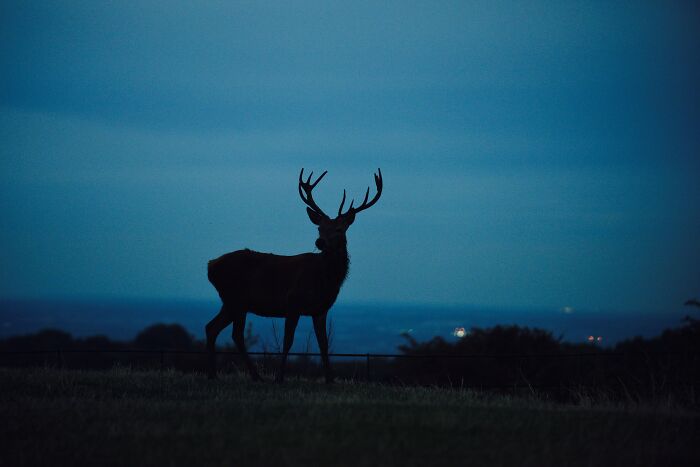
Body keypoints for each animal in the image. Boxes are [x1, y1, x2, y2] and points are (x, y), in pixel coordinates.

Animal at [206, 168, 383, 383]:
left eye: (339, 229)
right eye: (319, 227)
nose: (320, 242)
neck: (325, 279)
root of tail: (210, 266)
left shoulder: (320, 309)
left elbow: (323, 343)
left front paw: (330, 379)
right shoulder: (293, 302)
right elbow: (288, 341)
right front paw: (280, 377)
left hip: (233, 302)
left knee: (213, 328)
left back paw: (216, 374)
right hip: (235, 299)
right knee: (234, 334)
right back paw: (252, 376)